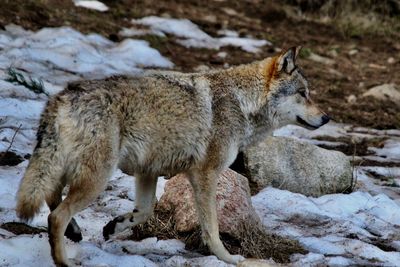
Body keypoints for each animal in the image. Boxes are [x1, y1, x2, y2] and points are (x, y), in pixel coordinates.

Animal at [15, 47, 330, 266]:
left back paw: (75, 233)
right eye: (303, 93)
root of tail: (61, 97)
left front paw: (114, 227)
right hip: (96, 179)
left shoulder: (148, 171)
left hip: (71, 171)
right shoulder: (205, 175)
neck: (242, 102)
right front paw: (227, 258)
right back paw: (63, 259)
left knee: (52, 199)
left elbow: (144, 212)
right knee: (56, 214)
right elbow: (212, 228)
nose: (327, 118)